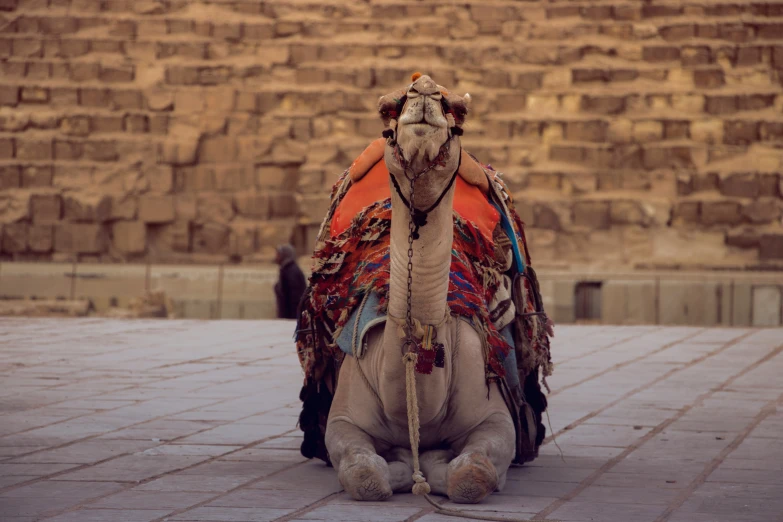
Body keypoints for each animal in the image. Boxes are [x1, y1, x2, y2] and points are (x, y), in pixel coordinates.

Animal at [322, 74, 528, 504]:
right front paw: (403, 467)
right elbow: (364, 474)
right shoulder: (343, 417)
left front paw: (432, 466)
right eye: (390, 109)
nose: (426, 88)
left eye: (458, 112)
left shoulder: (496, 416)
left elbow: (472, 475)